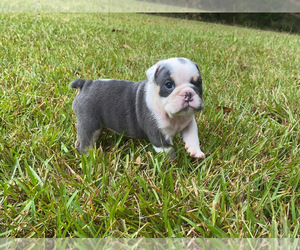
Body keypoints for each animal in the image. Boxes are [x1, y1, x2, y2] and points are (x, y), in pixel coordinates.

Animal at [71, 57, 205, 158]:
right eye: (168, 85)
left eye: (199, 83)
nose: (188, 94)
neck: (174, 116)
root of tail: (86, 84)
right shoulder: (158, 135)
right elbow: (169, 151)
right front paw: (173, 165)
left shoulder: (189, 123)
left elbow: (192, 136)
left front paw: (196, 152)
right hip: (89, 123)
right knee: (86, 142)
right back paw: (88, 157)